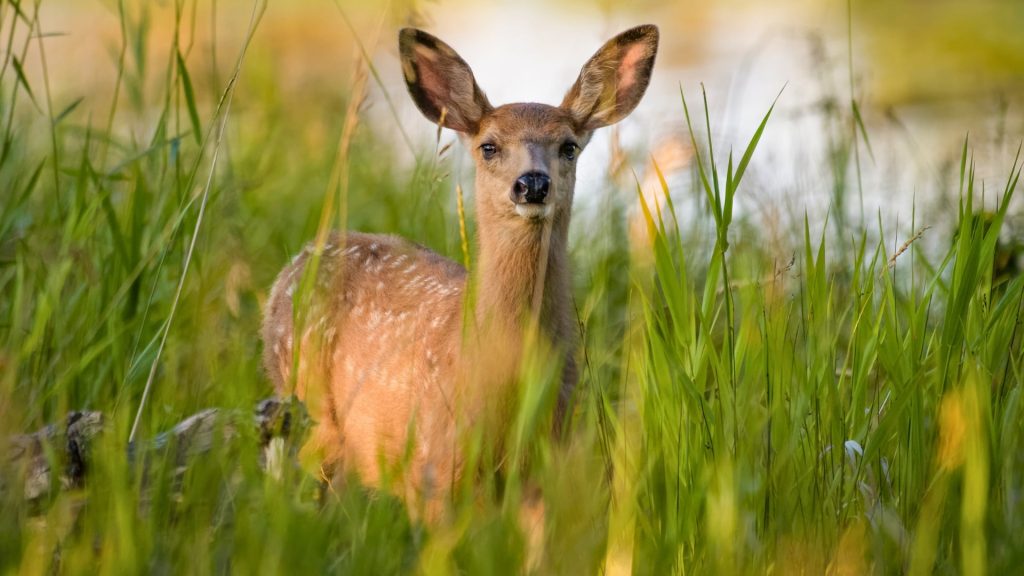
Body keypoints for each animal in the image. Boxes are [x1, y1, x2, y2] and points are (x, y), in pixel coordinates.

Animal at [260, 23, 659, 516]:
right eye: (489, 146)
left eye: (569, 147)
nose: (532, 183)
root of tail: (297, 261)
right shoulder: (433, 471)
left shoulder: (545, 469)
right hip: (308, 400)